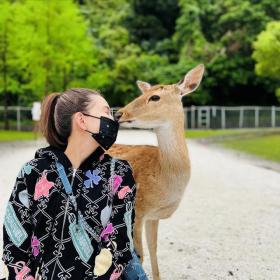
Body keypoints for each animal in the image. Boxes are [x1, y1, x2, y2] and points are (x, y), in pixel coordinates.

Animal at [106, 64, 205, 280]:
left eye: (155, 97)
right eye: (143, 93)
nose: (118, 114)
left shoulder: (153, 216)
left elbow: (153, 248)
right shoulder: (138, 209)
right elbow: (139, 255)